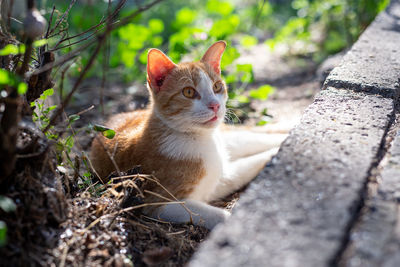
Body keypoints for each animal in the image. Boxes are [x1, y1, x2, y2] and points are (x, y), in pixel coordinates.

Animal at [90, 40, 284, 229]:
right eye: (189, 92)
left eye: (217, 87)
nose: (215, 105)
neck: (200, 140)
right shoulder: (157, 203)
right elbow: (219, 212)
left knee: (256, 135)